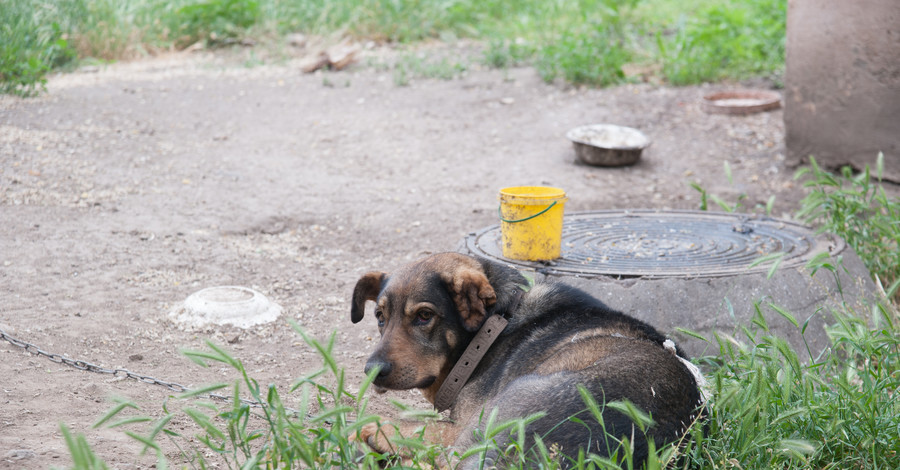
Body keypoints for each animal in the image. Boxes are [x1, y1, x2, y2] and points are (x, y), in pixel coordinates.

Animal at [348, 253, 708, 466]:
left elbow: (410, 428)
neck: (493, 329)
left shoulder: (461, 426)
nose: (372, 371)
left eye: (424, 316)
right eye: (380, 317)